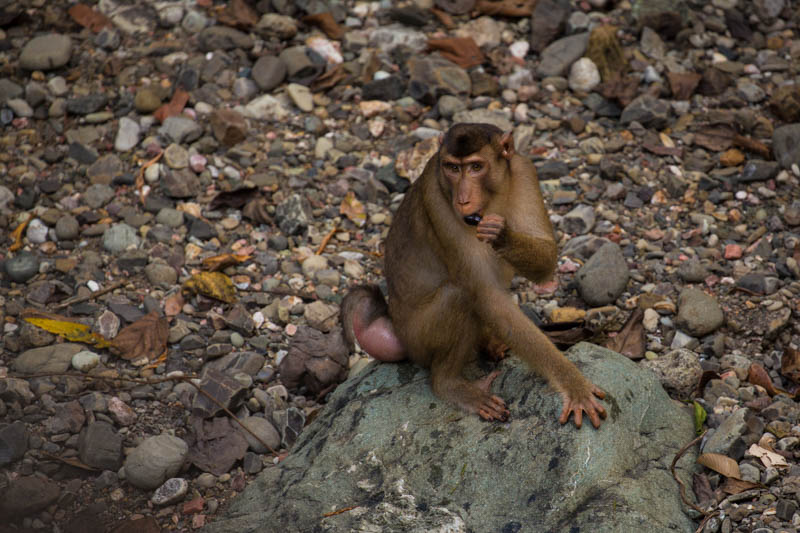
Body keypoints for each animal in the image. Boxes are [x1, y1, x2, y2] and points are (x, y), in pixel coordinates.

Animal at [340, 121, 608, 428]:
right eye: (453, 168)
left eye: (476, 167)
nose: (463, 199)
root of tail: (394, 327)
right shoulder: (437, 199)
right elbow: (486, 294)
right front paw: (573, 383)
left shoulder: (524, 171)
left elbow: (546, 259)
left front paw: (502, 235)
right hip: (417, 338)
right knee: (459, 296)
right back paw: (450, 384)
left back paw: (487, 344)